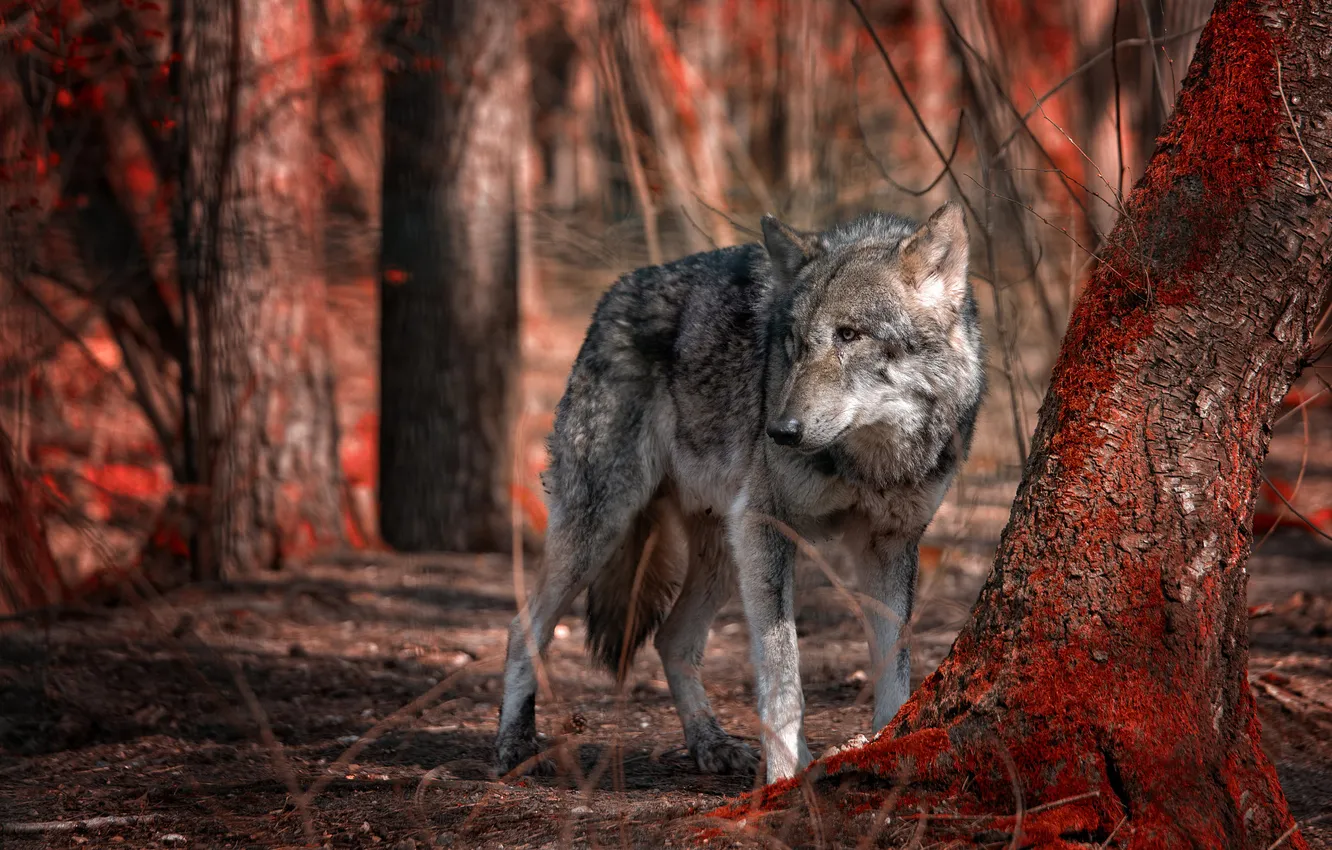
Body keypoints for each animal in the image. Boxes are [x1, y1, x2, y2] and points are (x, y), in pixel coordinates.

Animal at [495, 202, 986, 783]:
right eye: (793, 344)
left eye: (849, 335)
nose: (780, 431)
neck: (873, 460)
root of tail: (615, 291)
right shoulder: (766, 526)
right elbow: (783, 674)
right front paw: (785, 778)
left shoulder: (888, 544)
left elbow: (896, 669)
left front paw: (888, 749)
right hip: (604, 531)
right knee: (523, 628)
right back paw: (514, 744)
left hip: (724, 552)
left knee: (672, 638)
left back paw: (711, 744)